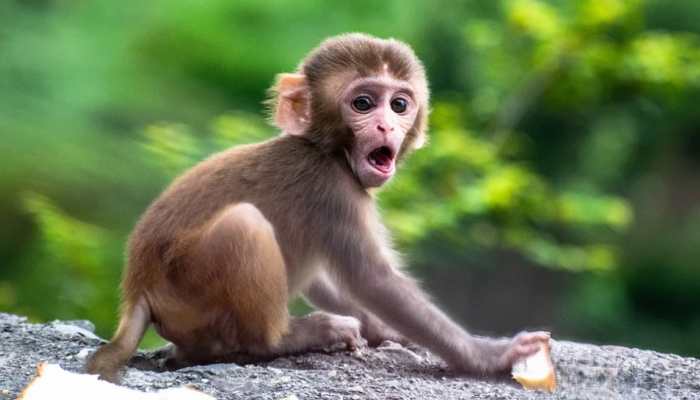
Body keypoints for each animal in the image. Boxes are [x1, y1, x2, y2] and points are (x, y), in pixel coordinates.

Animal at [86, 33, 550, 383]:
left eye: (399, 105)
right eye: (363, 103)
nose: (386, 126)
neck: (328, 150)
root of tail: (138, 290)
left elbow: (329, 277)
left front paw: (381, 328)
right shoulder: (333, 189)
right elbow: (372, 279)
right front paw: (488, 355)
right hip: (188, 291)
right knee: (244, 225)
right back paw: (289, 338)